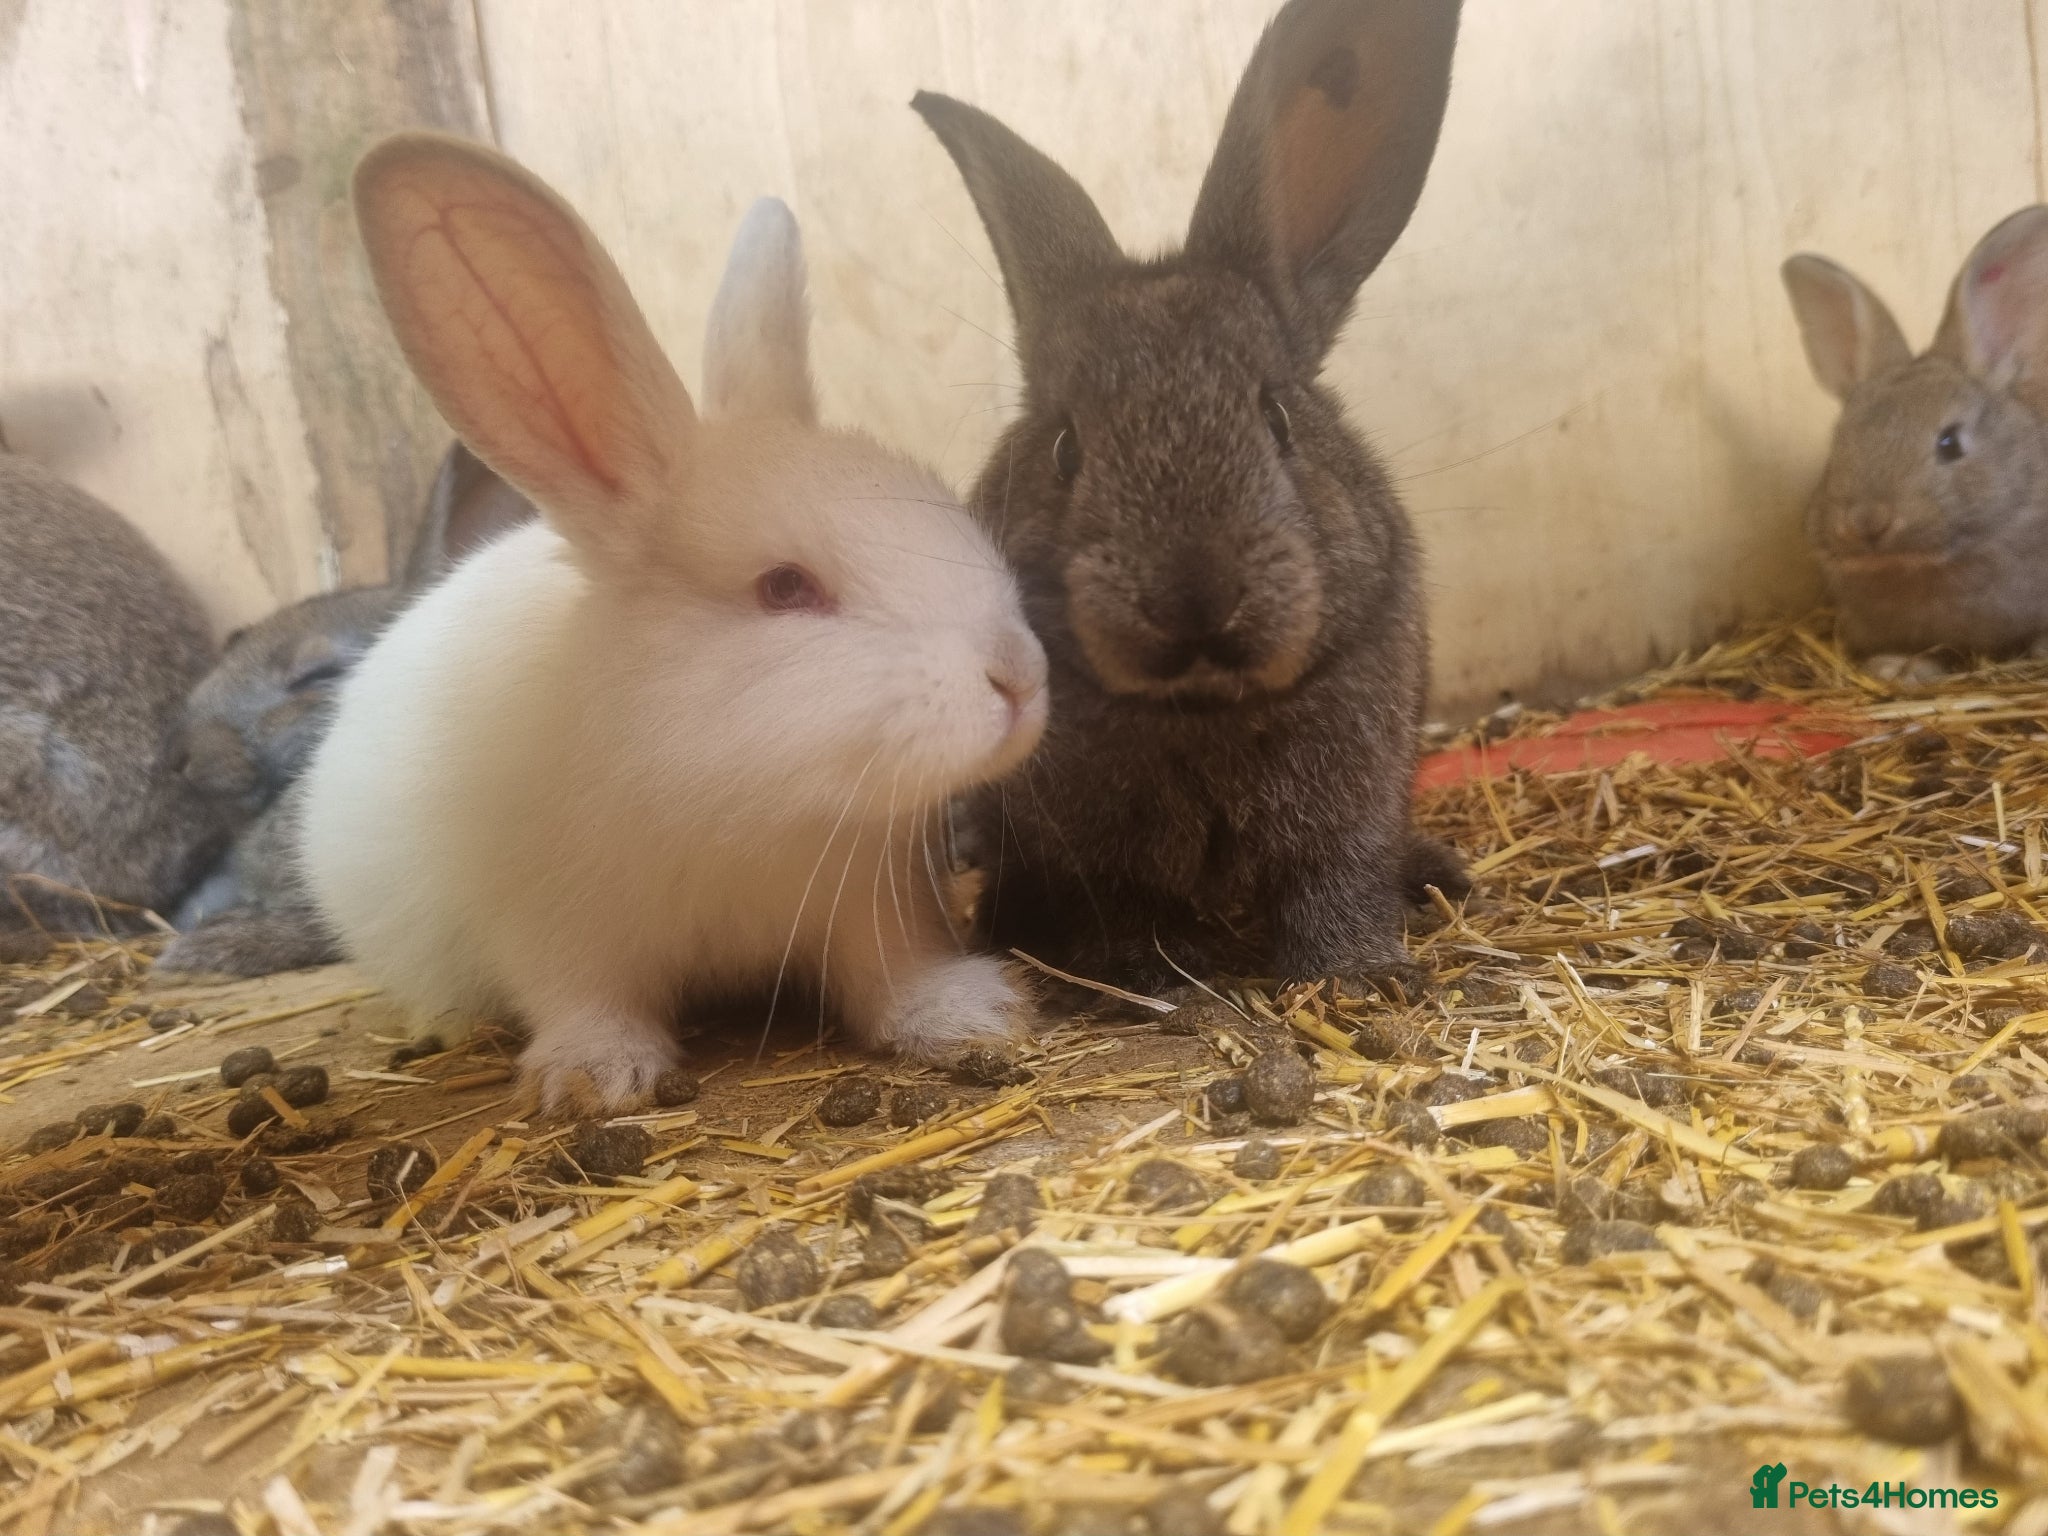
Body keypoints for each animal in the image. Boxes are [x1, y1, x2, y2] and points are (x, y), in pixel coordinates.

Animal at [298, 133, 1049, 1109]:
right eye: (784, 588)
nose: (1021, 678)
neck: (736, 808)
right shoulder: (550, 925)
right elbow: (582, 996)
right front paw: (595, 1076)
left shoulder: (873, 901)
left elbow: (891, 971)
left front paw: (972, 1016)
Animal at [912, 0, 1467, 995]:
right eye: (1067, 448)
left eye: (1277, 417)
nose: (1195, 597)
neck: (1202, 707)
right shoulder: (1095, 853)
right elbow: (1128, 907)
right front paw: (1157, 975)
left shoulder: (1350, 805)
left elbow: (1335, 881)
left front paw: (1358, 977)